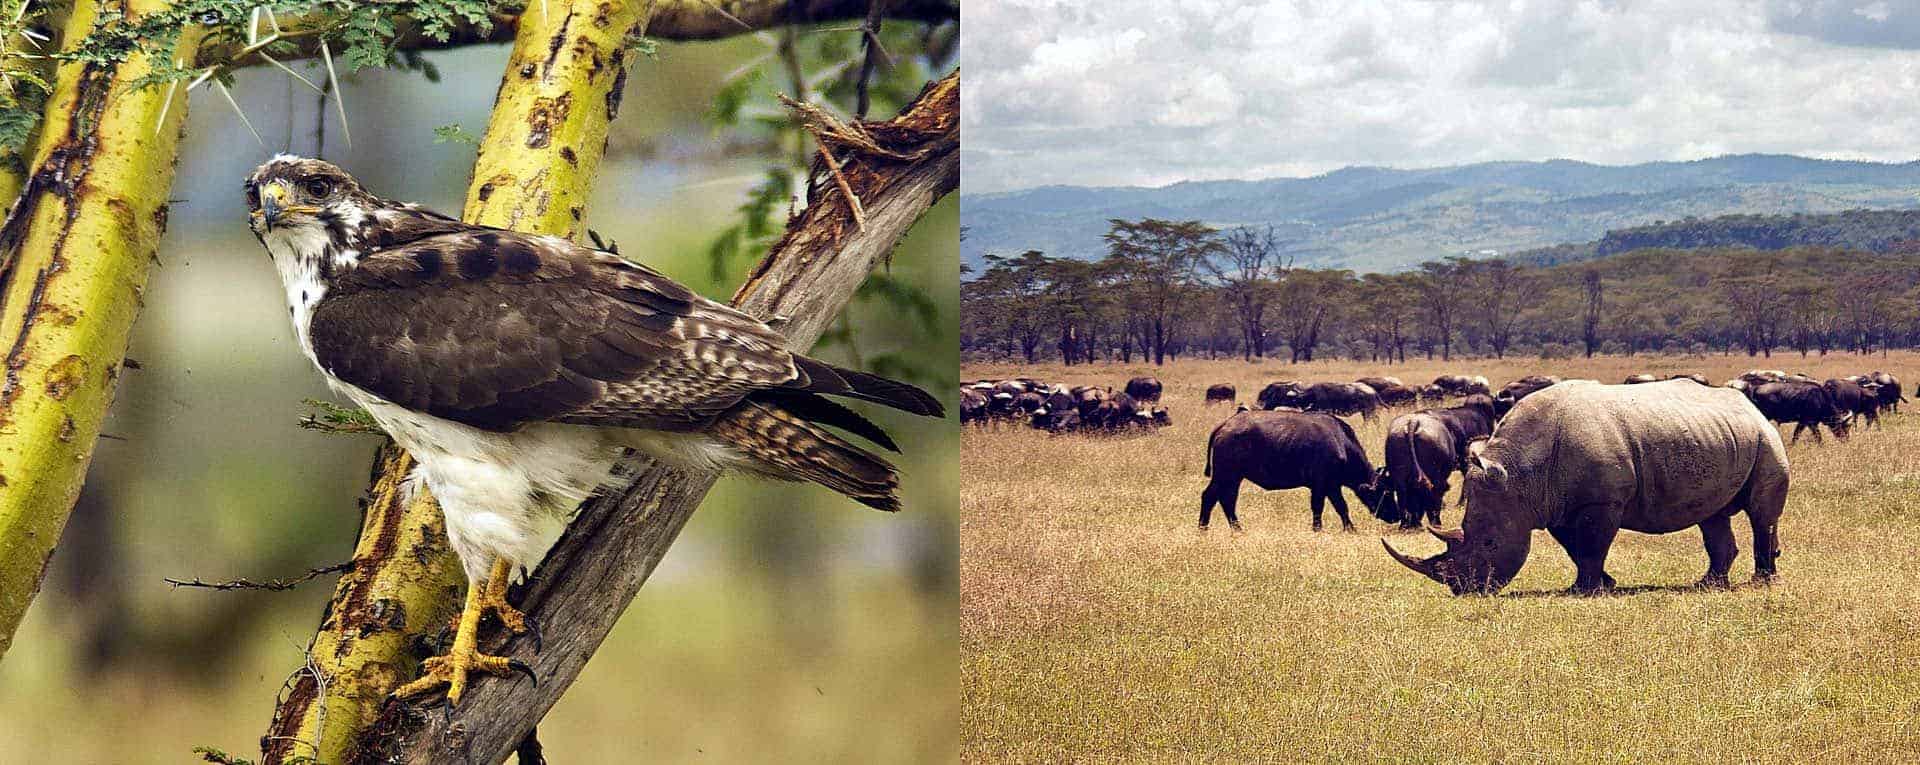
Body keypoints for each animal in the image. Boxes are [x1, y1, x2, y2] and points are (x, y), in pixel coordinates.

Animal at [1205, 409, 1390, 530]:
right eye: (1386, 493)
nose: (1393, 517)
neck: (1341, 442)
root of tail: (1226, 425)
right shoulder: (1321, 486)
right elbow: (1320, 507)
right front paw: (1318, 529)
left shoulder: (1332, 486)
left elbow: (1341, 507)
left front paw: (1350, 529)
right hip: (1226, 475)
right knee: (1213, 497)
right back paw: (1211, 528)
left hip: (1232, 477)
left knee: (1224, 498)